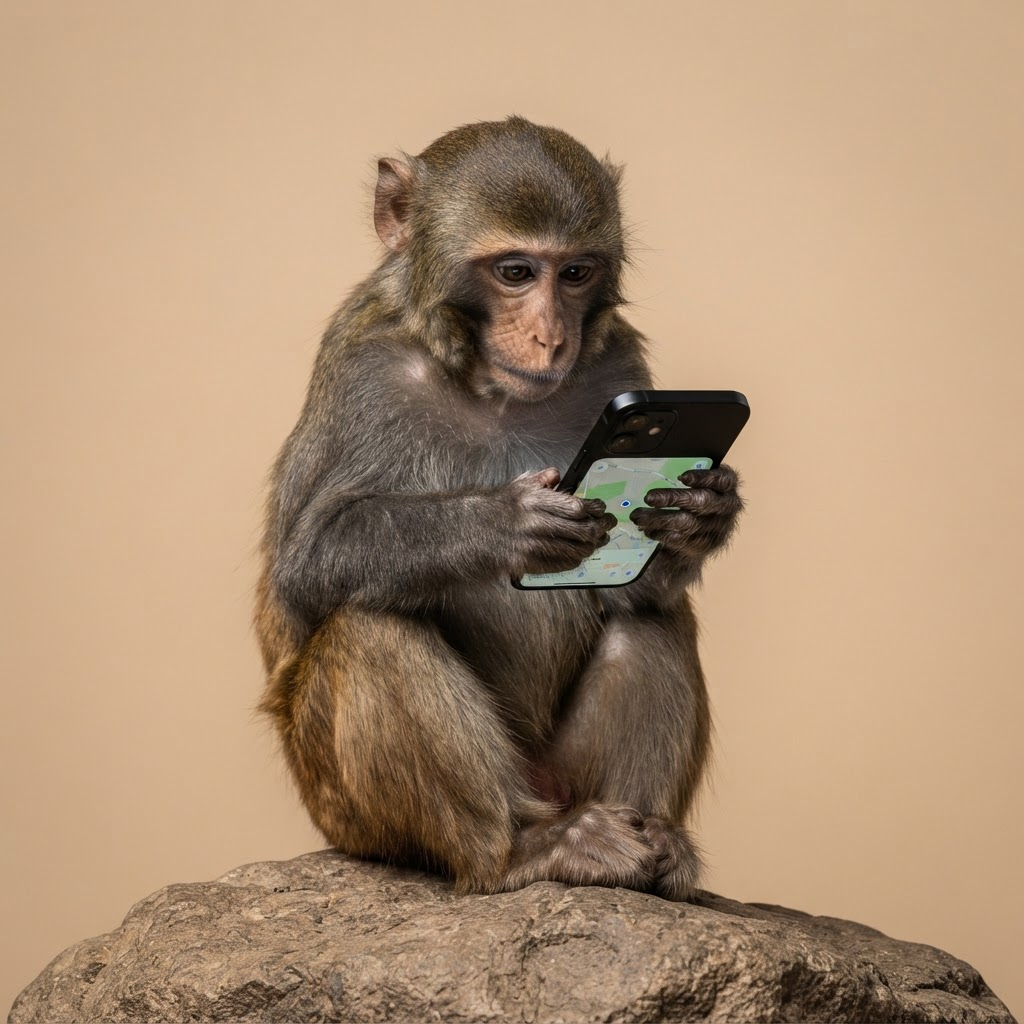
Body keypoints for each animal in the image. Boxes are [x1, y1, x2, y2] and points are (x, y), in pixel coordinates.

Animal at [255, 116, 743, 901]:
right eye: (515, 272)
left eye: (574, 273)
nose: (551, 336)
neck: (490, 385)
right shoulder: (363, 372)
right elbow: (306, 566)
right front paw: (504, 522)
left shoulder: (619, 364)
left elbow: (640, 589)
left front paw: (702, 513)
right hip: (346, 816)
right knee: (369, 627)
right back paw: (522, 848)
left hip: (562, 773)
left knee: (651, 617)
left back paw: (651, 848)